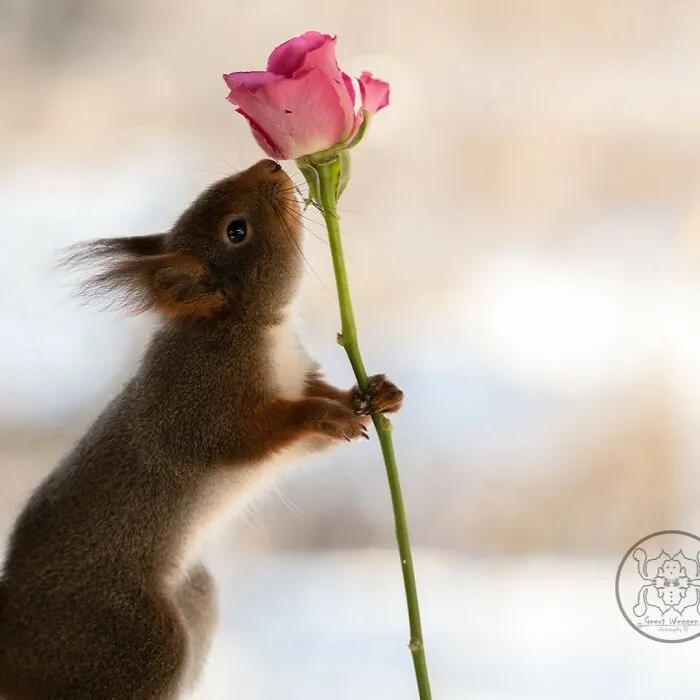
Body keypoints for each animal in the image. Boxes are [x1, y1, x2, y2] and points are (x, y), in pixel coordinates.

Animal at [0, 158, 403, 700]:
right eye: (236, 231)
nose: (270, 165)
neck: (251, 328)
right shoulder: (200, 404)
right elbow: (247, 436)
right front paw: (327, 415)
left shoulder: (297, 379)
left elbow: (313, 434)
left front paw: (378, 393)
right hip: (132, 645)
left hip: (194, 595)